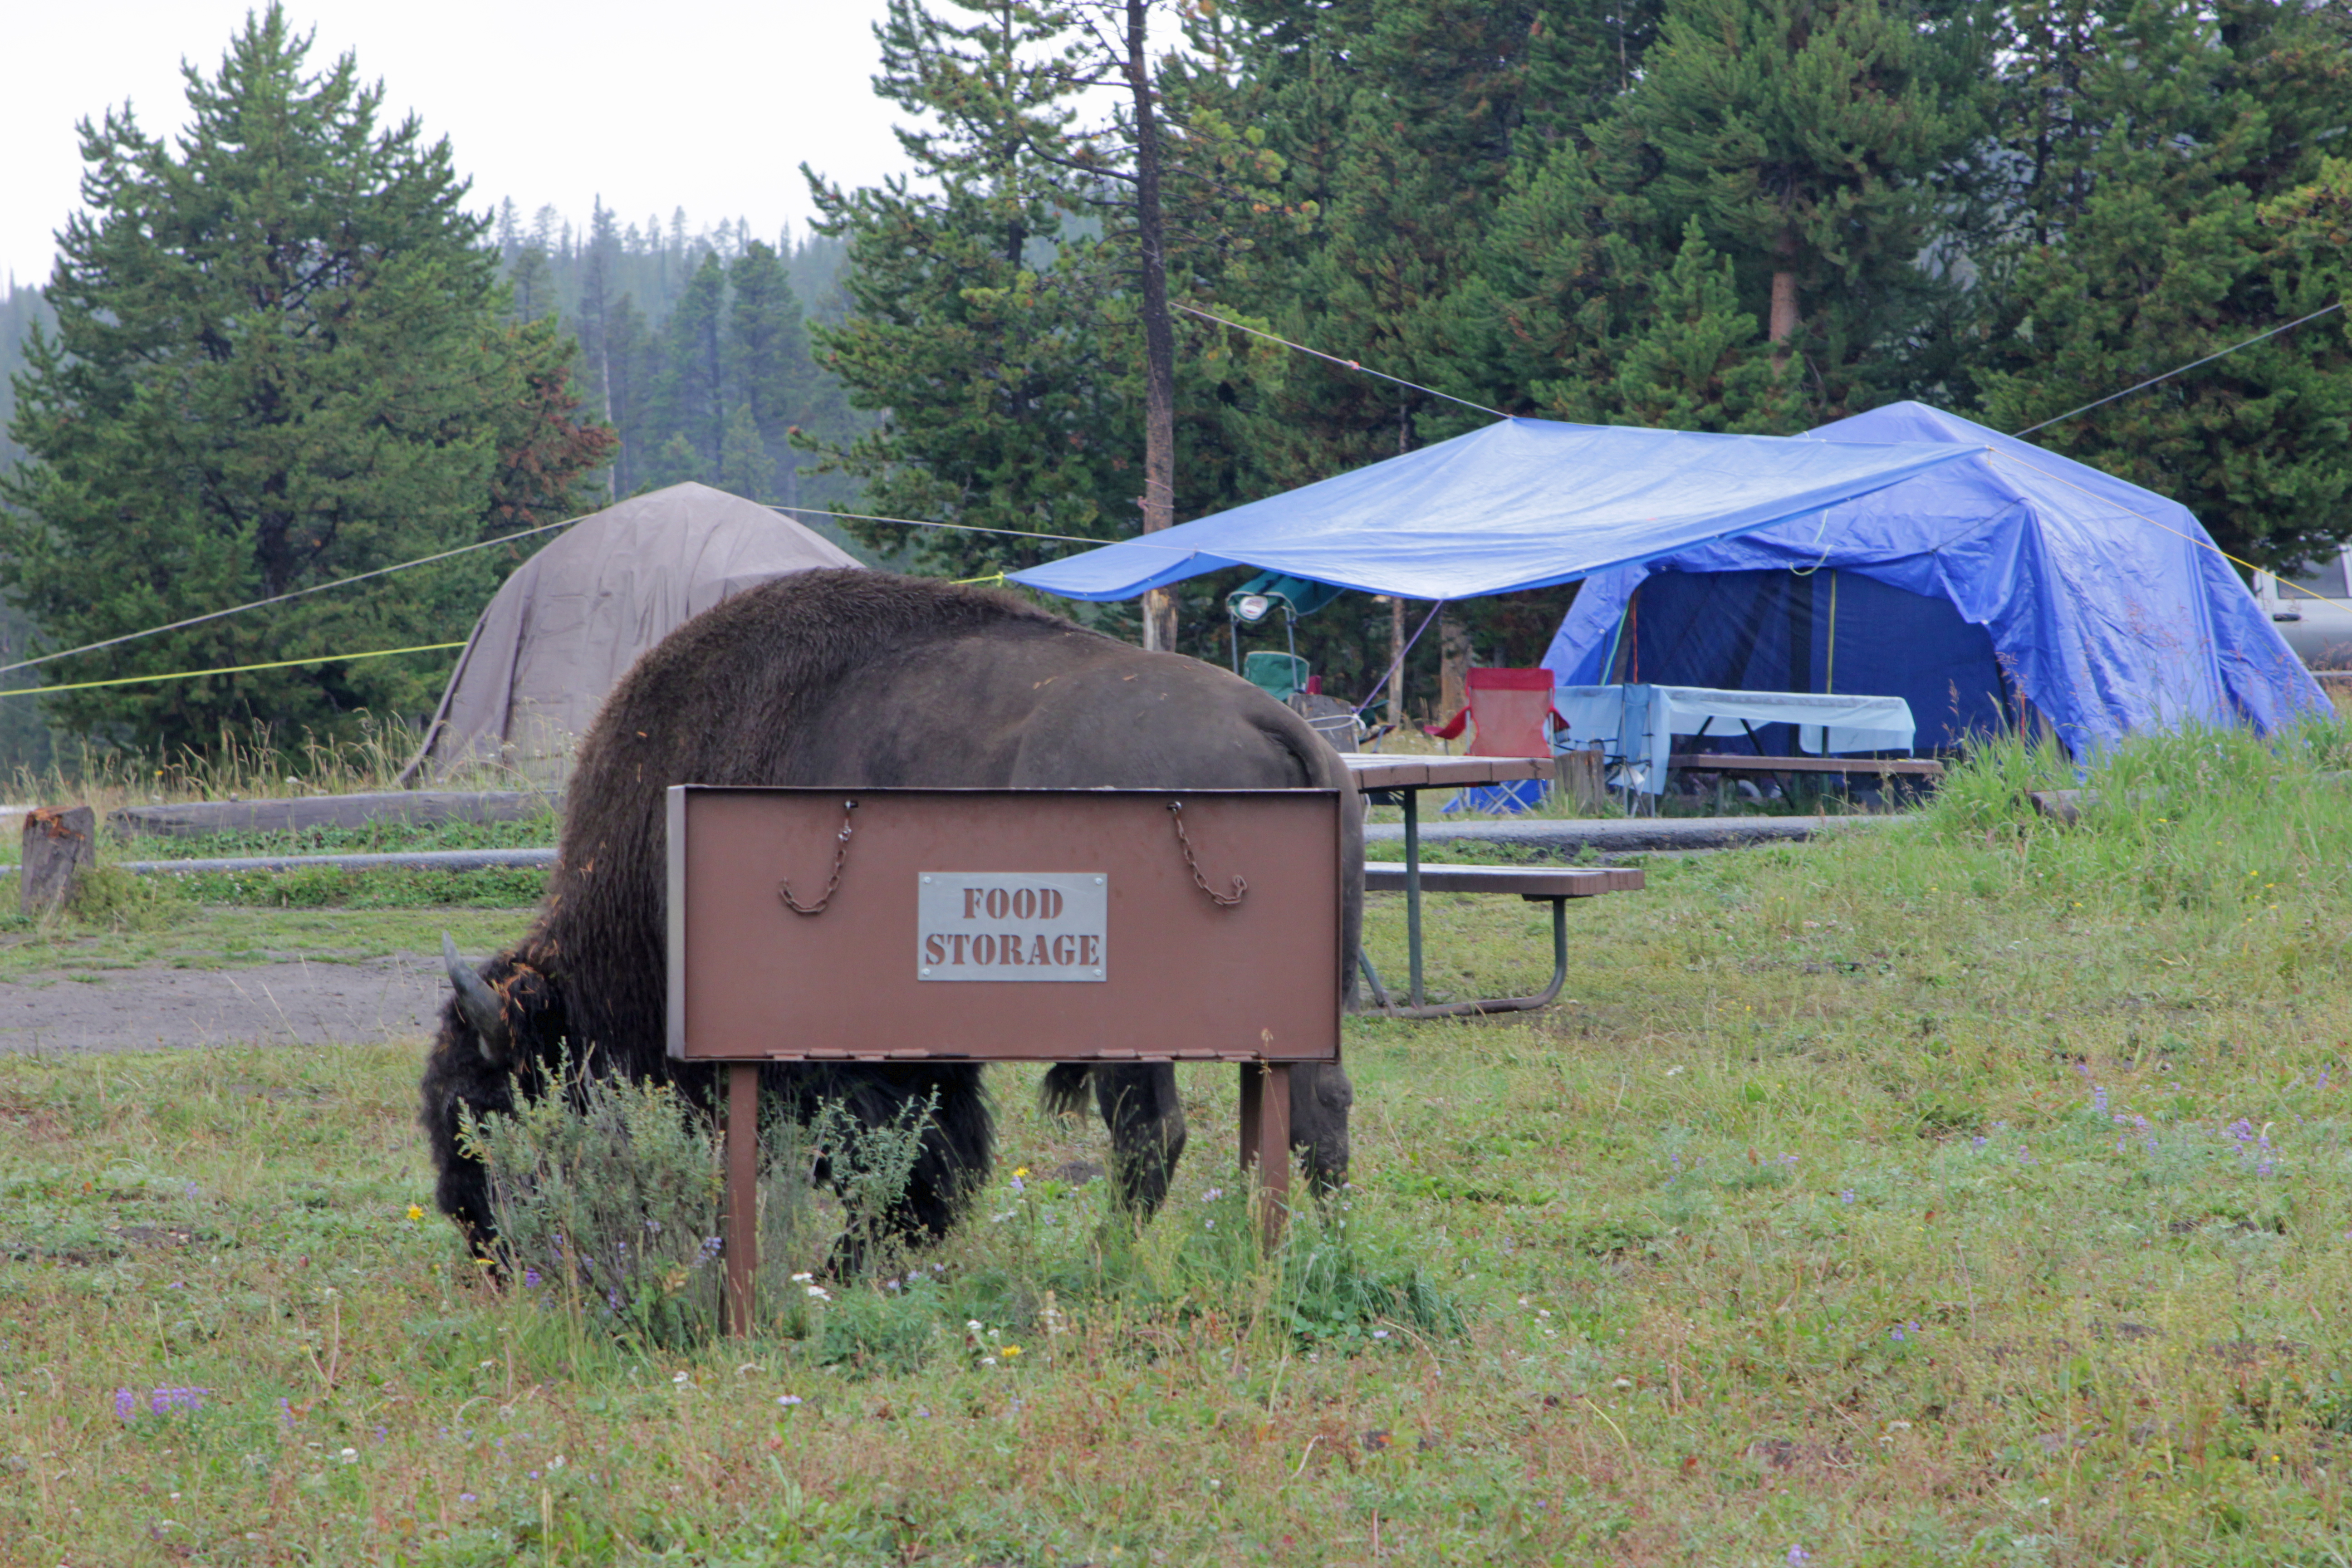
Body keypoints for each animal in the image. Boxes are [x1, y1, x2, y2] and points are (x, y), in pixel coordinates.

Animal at [428, 571, 1364, 1260]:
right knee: (1311, 1112)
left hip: (1136, 1030)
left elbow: (890, 1157)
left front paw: (858, 1256)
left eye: (481, 1108)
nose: (473, 1230)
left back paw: (1109, 1257)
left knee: (1151, 1133)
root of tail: (1281, 726)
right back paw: (1305, 1248)